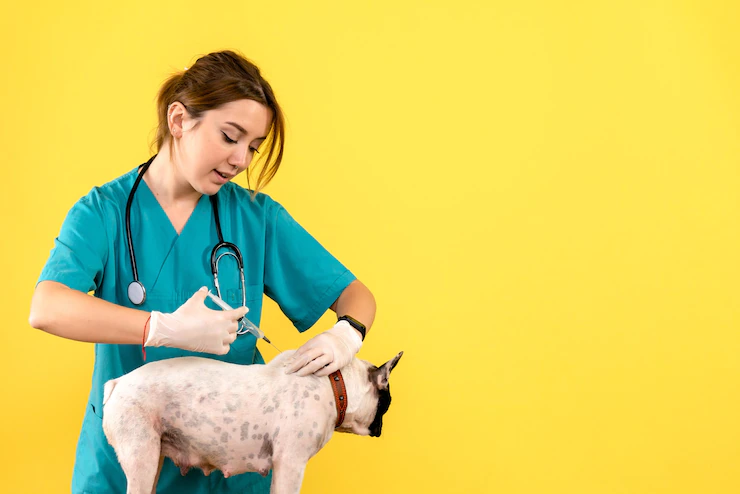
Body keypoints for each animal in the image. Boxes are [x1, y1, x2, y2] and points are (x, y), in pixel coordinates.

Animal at [100, 350, 402, 492]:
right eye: (387, 402)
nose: (381, 429)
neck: (335, 384)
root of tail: (118, 383)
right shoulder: (290, 465)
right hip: (141, 457)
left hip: (153, 460)